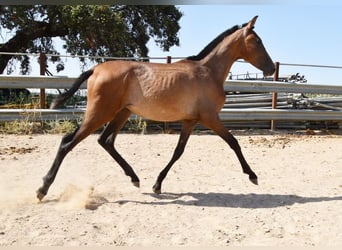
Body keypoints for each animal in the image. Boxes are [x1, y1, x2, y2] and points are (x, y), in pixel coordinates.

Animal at [35, 16, 276, 201]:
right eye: (257, 41)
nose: (271, 68)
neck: (208, 72)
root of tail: (95, 69)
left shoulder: (190, 121)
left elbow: (178, 151)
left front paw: (157, 185)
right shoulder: (210, 117)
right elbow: (234, 142)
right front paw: (252, 175)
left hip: (122, 113)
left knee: (105, 141)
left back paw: (134, 178)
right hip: (99, 113)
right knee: (68, 142)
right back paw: (42, 189)